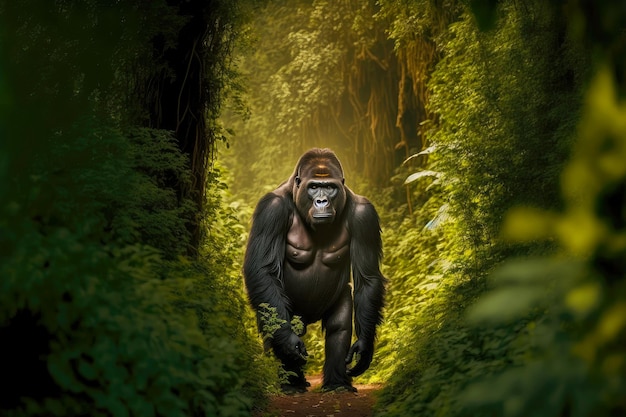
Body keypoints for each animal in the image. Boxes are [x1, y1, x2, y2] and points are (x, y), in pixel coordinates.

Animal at [244, 148, 386, 392]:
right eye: (313, 187)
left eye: (329, 187)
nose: (322, 200)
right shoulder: (271, 210)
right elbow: (263, 270)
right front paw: (288, 343)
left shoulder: (364, 214)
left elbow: (368, 277)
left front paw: (364, 347)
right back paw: (293, 383)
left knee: (338, 326)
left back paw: (337, 384)